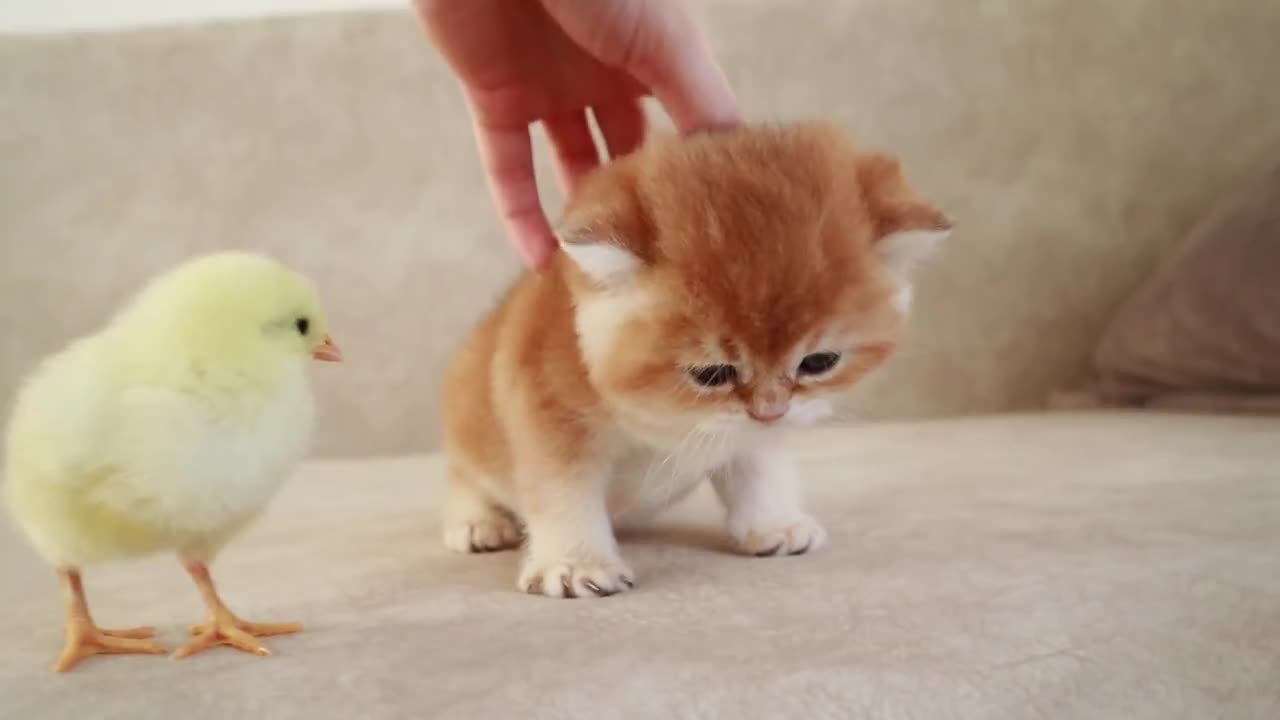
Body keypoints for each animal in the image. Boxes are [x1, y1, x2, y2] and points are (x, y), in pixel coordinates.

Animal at [440, 120, 952, 597]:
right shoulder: (545, 406)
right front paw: (575, 564)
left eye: (818, 362)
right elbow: (562, 492)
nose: (771, 411)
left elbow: (758, 466)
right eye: (712, 374)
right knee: (464, 473)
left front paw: (774, 524)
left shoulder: (748, 433)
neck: (664, 415)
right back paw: (478, 521)